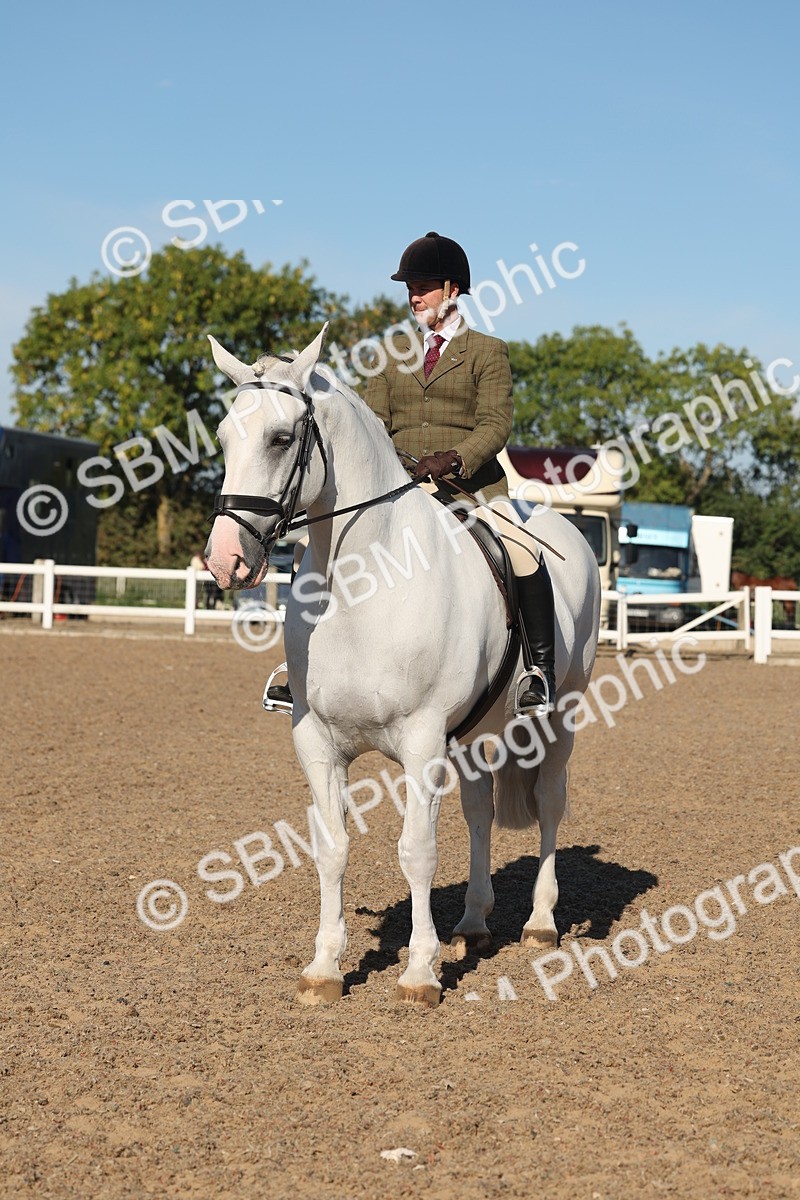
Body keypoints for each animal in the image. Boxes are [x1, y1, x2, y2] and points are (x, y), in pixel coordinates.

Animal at [205, 326, 601, 1007]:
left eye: (281, 438)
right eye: (226, 435)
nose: (225, 560)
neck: (364, 586)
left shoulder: (421, 741)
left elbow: (416, 851)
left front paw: (420, 973)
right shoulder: (317, 742)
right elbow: (332, 848)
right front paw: (325, 968)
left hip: (560, 715)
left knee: (550, 802)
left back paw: (540, 924)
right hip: (471, 733)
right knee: (478, 811)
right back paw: (472, 925)